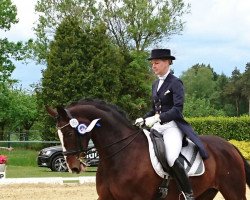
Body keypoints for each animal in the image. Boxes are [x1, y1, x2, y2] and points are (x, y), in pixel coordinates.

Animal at [47, 99, 250, 199]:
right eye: (59, 134)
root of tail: (231, 146)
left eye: (70, 133)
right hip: (206, 193)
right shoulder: (106, 198)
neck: (119, 156)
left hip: (233, 190)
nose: (73, 166)